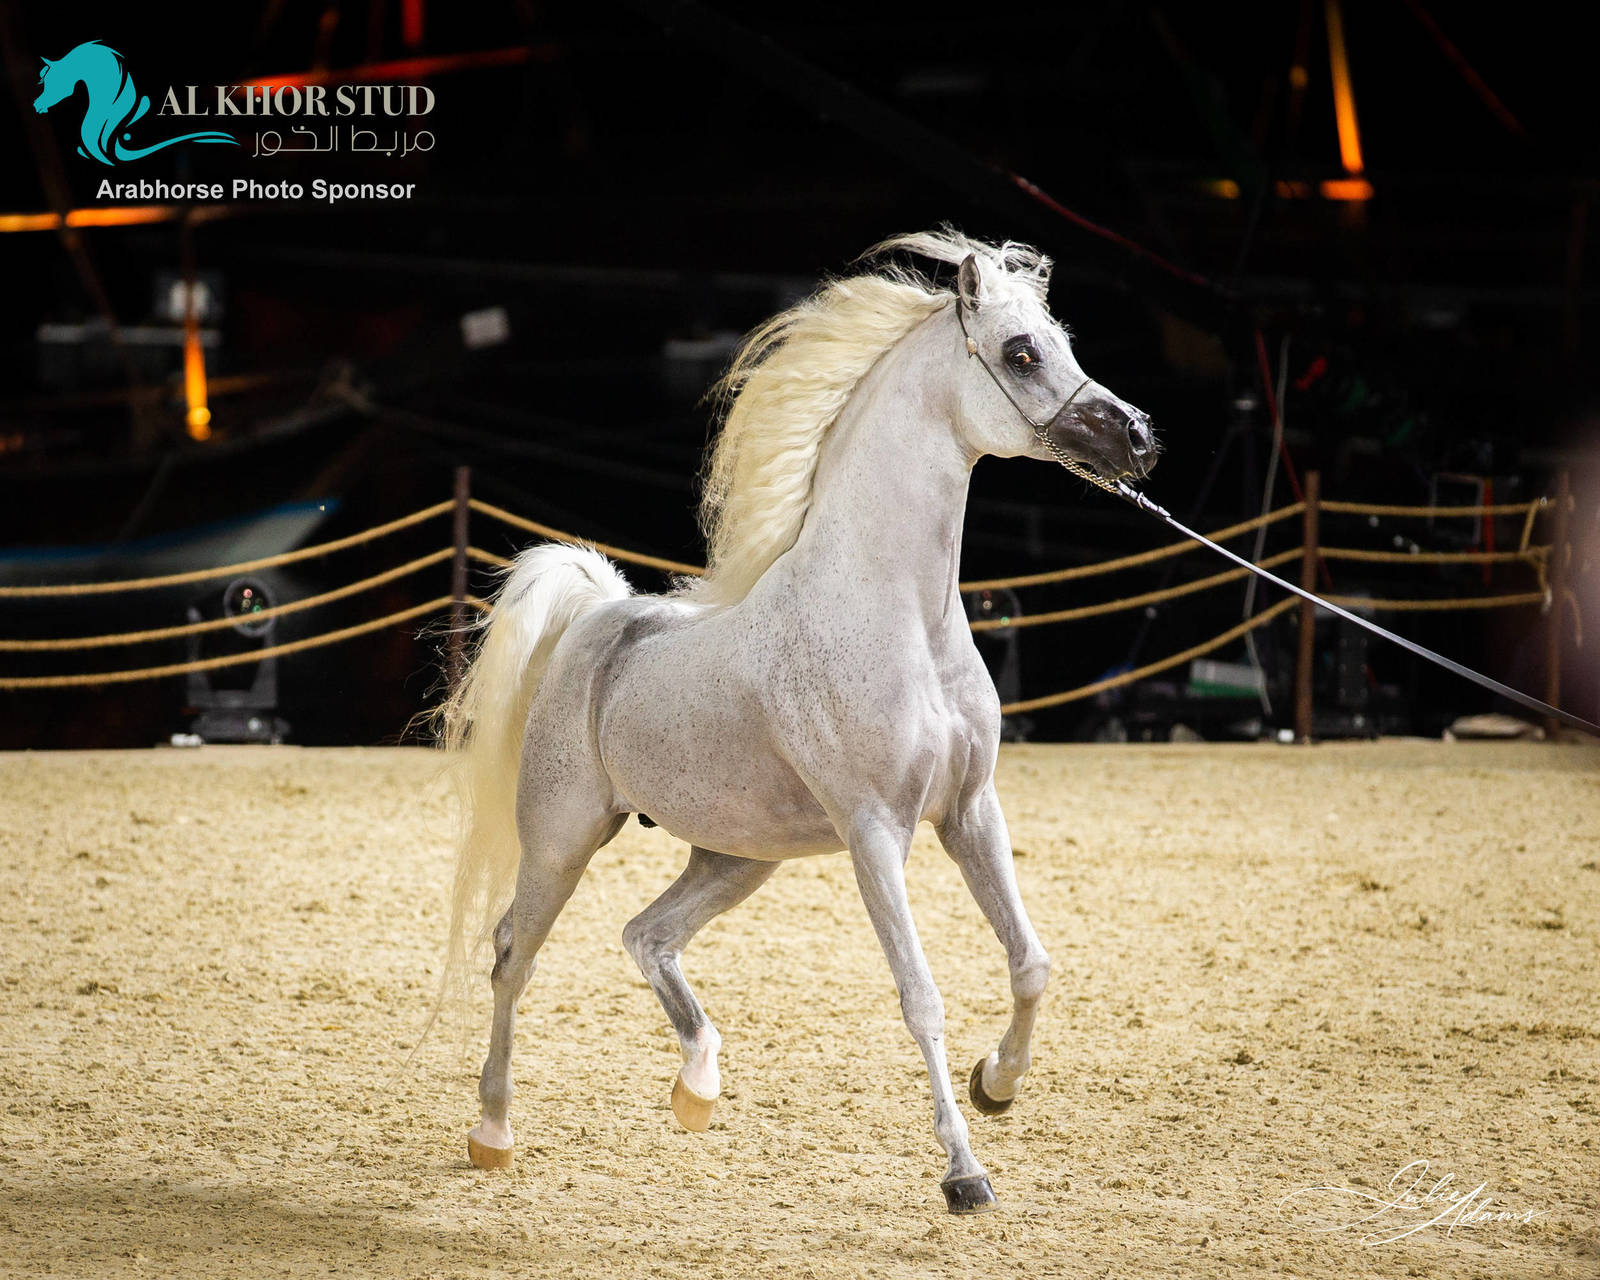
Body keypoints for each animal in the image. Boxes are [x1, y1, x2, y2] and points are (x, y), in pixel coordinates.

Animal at [441, 228, 1158, 1214]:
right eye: (1021, 352)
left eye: (1063, 340)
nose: (1139, 438)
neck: (899, 618)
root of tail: (596, 620)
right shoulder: (876, 834)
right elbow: (920, 997)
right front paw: (964, 1173)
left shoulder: (971, 812)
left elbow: (1031, 963)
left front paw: (998, 1085)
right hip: (562, 838)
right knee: (515, 954)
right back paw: (493, 1132)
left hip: (738, 856)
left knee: (647, 935)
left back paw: (698, 1087)